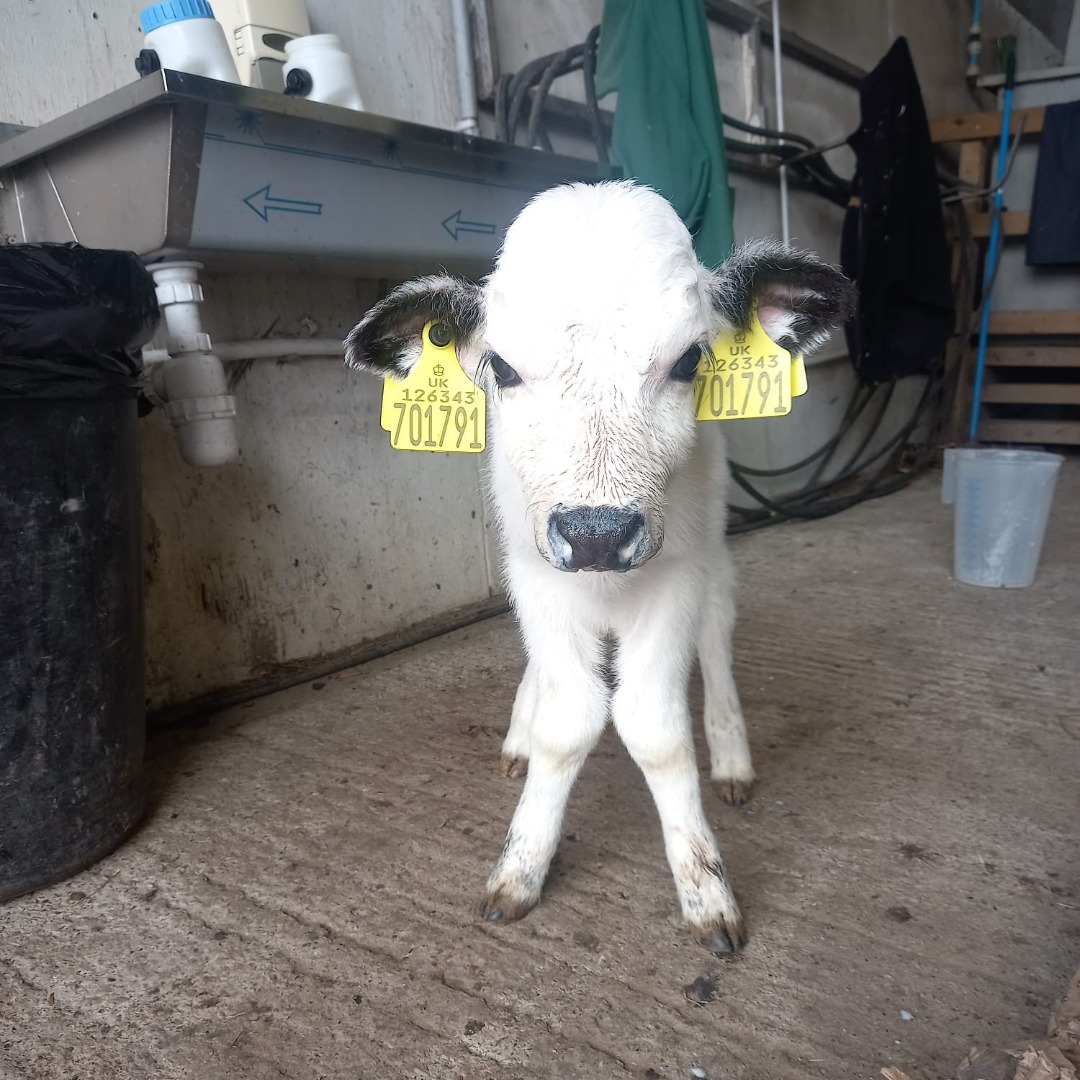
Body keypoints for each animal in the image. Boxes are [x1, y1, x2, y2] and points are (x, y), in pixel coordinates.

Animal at [345, 179, 851, 954]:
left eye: (690, 361)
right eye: (501, 368)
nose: (595, 534)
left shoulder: (678, 573)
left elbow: (654, 727)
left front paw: (704, 885)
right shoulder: (533, 572)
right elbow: (568, 717)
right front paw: (522, 860)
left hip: (714, 548)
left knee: (718, 633)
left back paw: (732, 756)